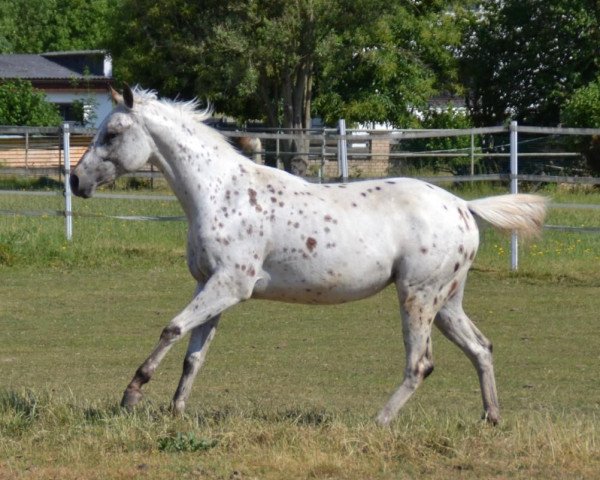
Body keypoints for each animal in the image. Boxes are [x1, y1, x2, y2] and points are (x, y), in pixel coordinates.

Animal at [70, 86, 548, 424]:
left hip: (417, 297)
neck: (221, 193)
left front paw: (131, 395)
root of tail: (464, 207)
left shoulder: (230, 285)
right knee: (481, 348)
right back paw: (490, 418)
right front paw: (176, 411)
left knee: (420, 364)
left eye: (112, 133)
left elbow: (171, 329)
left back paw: (378, 422)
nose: (75, 180)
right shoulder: (210, 286)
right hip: (445, 302)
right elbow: (194, 354)